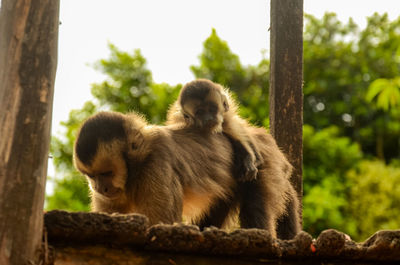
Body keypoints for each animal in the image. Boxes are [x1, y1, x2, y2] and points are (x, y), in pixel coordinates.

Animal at [72, 109, 300, 237]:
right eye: (92, 176)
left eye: (107, 173)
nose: (99, 188)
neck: (135, 170)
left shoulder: (156, 163)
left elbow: (162, 223)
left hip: (264, 163)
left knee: (255, 205)